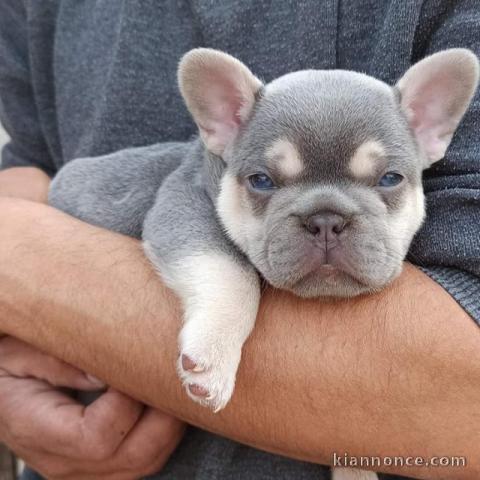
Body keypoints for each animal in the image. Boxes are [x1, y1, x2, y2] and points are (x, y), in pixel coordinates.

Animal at [50, 47, 478, 480]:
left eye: (391, 179)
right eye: (261, 181)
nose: (326, 219)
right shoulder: (182, 206)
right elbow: (232, 273)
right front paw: (213, 355)